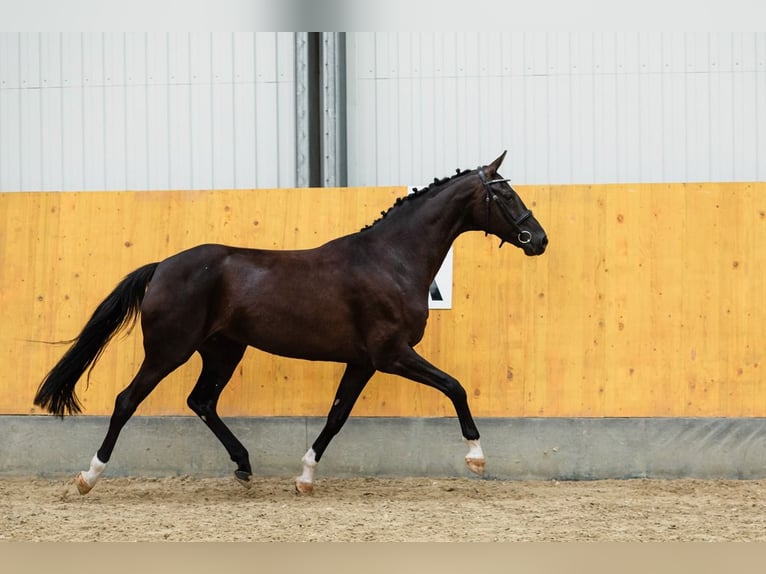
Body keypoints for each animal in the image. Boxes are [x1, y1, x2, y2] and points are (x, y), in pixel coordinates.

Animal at [34, 152, 544, 496]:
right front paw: (476, 458)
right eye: (505, 193)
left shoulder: (363, 361)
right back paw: (88, 477)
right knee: (126, 401)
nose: (537, 239)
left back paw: (243, 466)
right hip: (168, 351)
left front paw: (305, 477)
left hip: (223, 349)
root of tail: (162, 266)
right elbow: (455, 386)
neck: (390, 260)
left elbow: (337, 416)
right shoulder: (392, 354)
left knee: (202, 401)